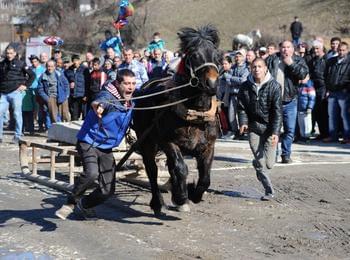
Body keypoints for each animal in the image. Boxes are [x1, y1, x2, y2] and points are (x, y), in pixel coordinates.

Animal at [133, 24, 223, 215]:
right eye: (194, 55)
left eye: (217, 55)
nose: (212, 84)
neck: (195, 114)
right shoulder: (169, 142)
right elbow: (181, 168)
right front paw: (182, 197)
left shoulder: (208, 145)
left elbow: (205, 178)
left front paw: (193, 194)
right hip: (147, 141)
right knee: (152, 169)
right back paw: (158, 202)